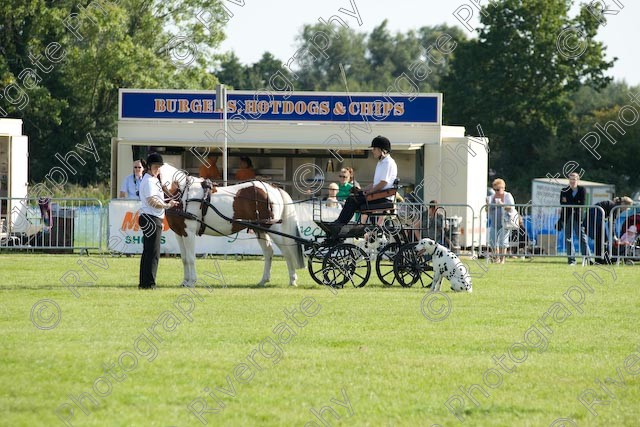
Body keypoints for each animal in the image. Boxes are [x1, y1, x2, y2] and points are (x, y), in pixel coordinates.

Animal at [159, 164, 306, 288]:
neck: (183, 194)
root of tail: (273, 188)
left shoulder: (188, 232)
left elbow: (190, 258)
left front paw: (192, 282)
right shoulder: (180, 233)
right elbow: (184, 258)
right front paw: (185, 282)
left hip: (272, 228)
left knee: (287, 251)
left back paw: (292, 280)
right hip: (260, 229)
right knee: (268, 252)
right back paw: (263, 280)